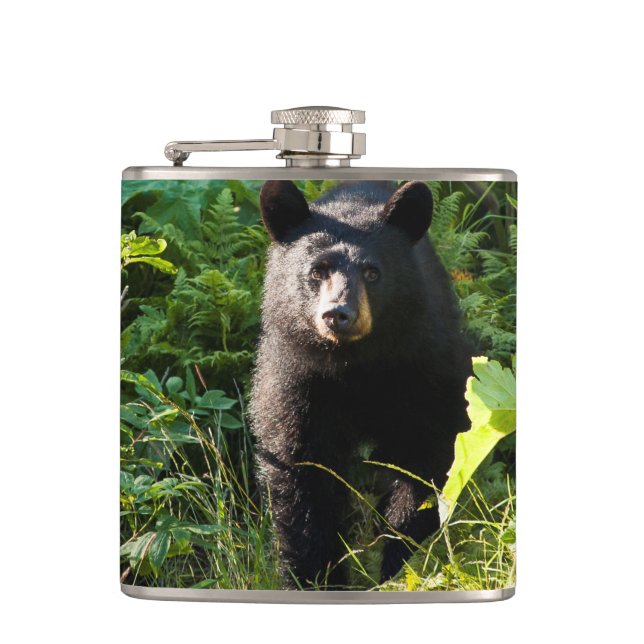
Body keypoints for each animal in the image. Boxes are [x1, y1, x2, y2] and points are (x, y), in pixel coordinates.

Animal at [249, 180, 471, 589]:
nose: (338, 314)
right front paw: (315, 577)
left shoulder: (425, 367)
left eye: (372, 272)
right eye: (317, 271)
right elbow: (301, 470)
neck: (356, 364)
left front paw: (399, 561)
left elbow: (425, 461)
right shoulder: (296, 379)